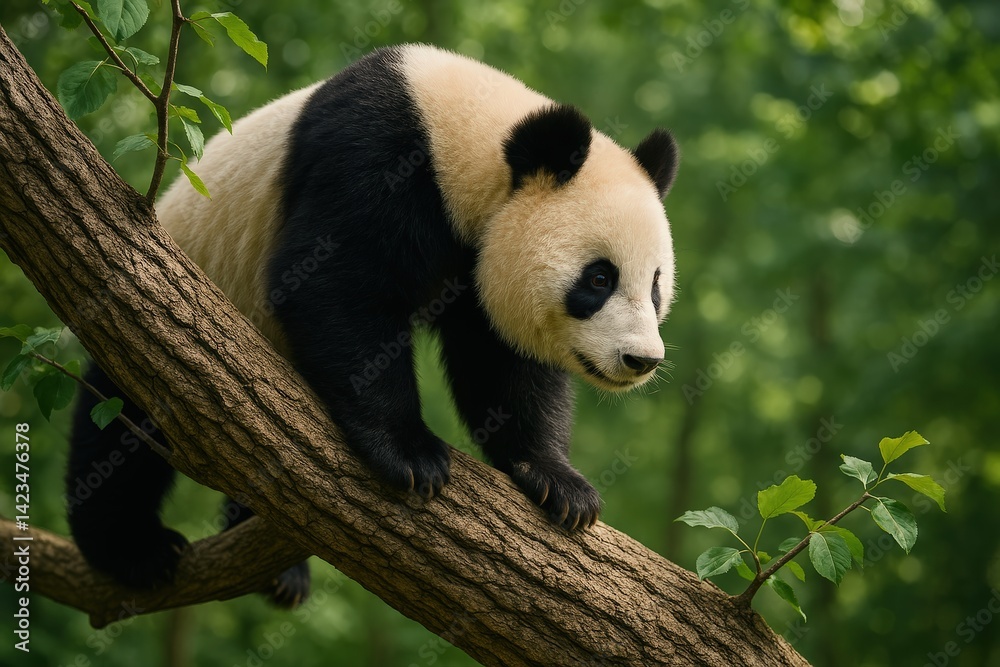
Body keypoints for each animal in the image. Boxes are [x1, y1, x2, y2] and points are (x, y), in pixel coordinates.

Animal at [66, 44, 679, 602]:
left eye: (654, 283)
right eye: (598, 279)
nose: (640, 360)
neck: (464, 139)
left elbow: (504, 364)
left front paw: (559, 484)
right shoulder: (374, 157)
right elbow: (335, 288)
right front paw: (411, 456)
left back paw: (279, 571)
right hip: (163, 304)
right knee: (123, 423)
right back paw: (133, 551)